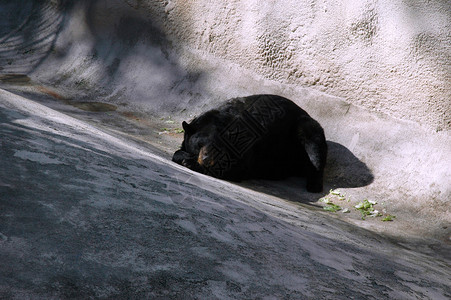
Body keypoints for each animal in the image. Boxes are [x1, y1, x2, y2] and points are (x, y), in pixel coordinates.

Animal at [173, 94, 328, 192]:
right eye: (199, 144)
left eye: (219, 147)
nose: (206, 159)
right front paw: (186, 157)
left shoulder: (245, 145)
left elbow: (237, 167)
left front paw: (191, 162)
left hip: (303, 129)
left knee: (314, 146)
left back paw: (313, 185)